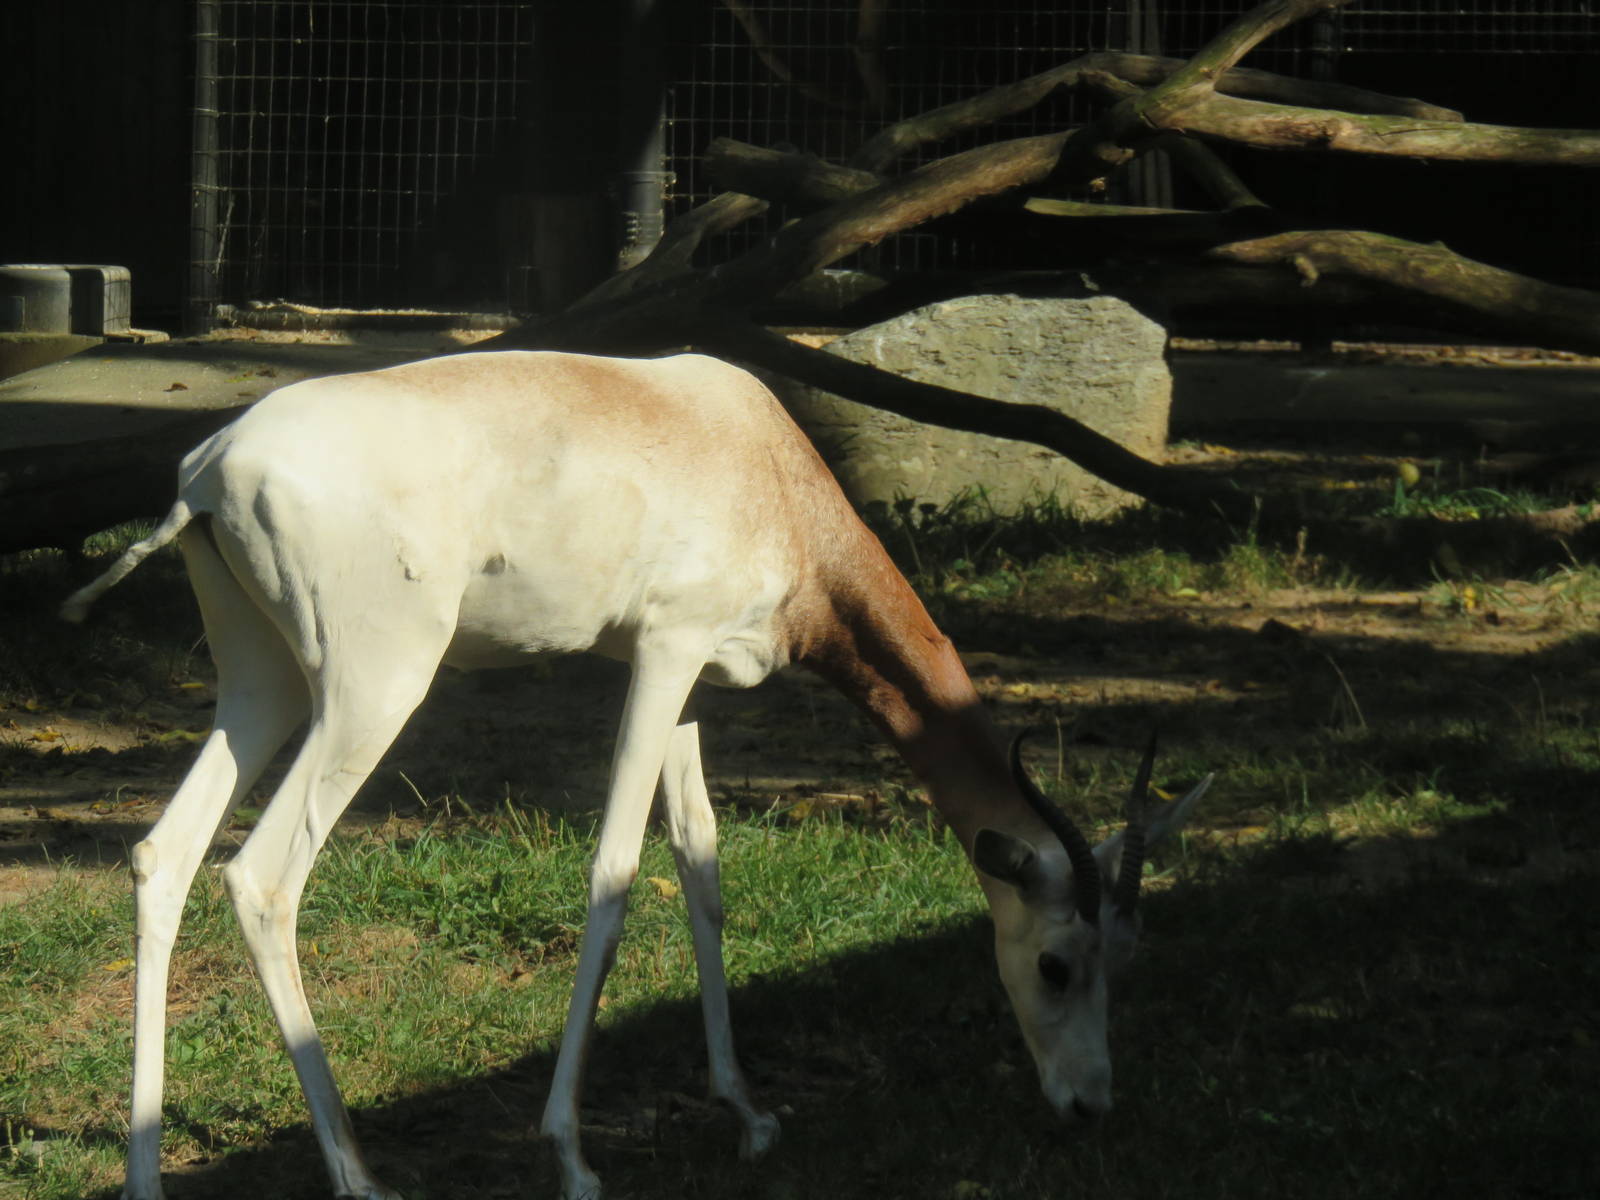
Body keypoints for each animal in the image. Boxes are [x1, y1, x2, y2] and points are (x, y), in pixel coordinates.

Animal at [63, 350, 1210, 1200]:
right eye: (1056, 964)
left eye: (1129, 955)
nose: (1088, 1107)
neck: (759, 457)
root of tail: (208, 471)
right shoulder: (663, 651)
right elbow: (614, 879)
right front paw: (572, 1156)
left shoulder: (693, 684)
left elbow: (701, 871)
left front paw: (747, 1114)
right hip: (372, 690)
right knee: (261, 878)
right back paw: (358, 1175)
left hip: (261, 684)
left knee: (163, 855)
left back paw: (145, 1174)